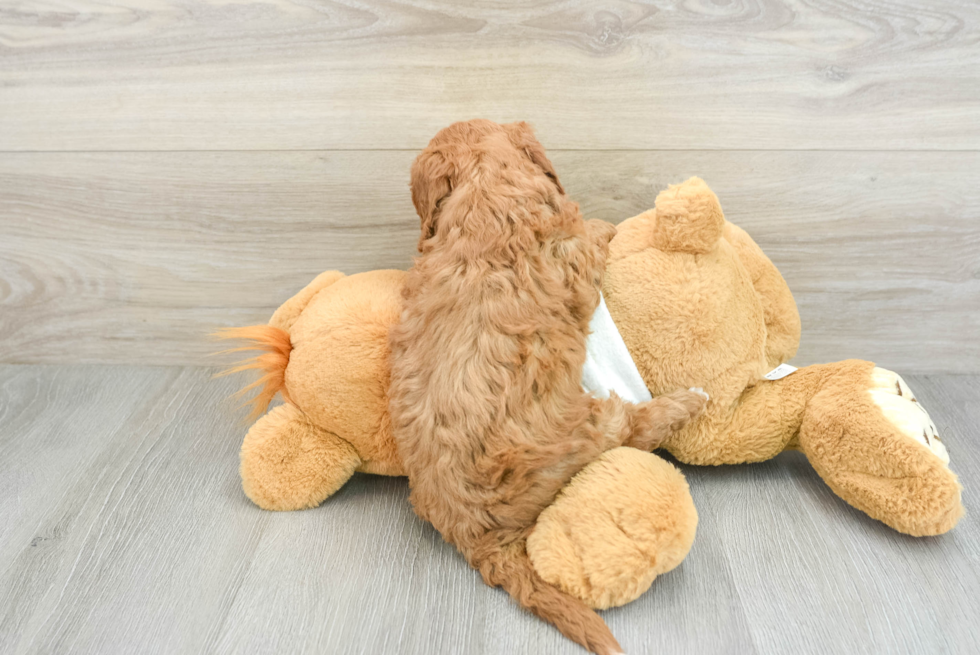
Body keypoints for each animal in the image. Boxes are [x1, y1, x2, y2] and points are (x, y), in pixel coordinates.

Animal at [388, 119, 704, 655]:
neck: (486, 189)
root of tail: (475, 538)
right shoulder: (572, 249)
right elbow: (592, 235)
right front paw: (608, 226)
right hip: (591, 427)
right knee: (636, 429)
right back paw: (687, 402)